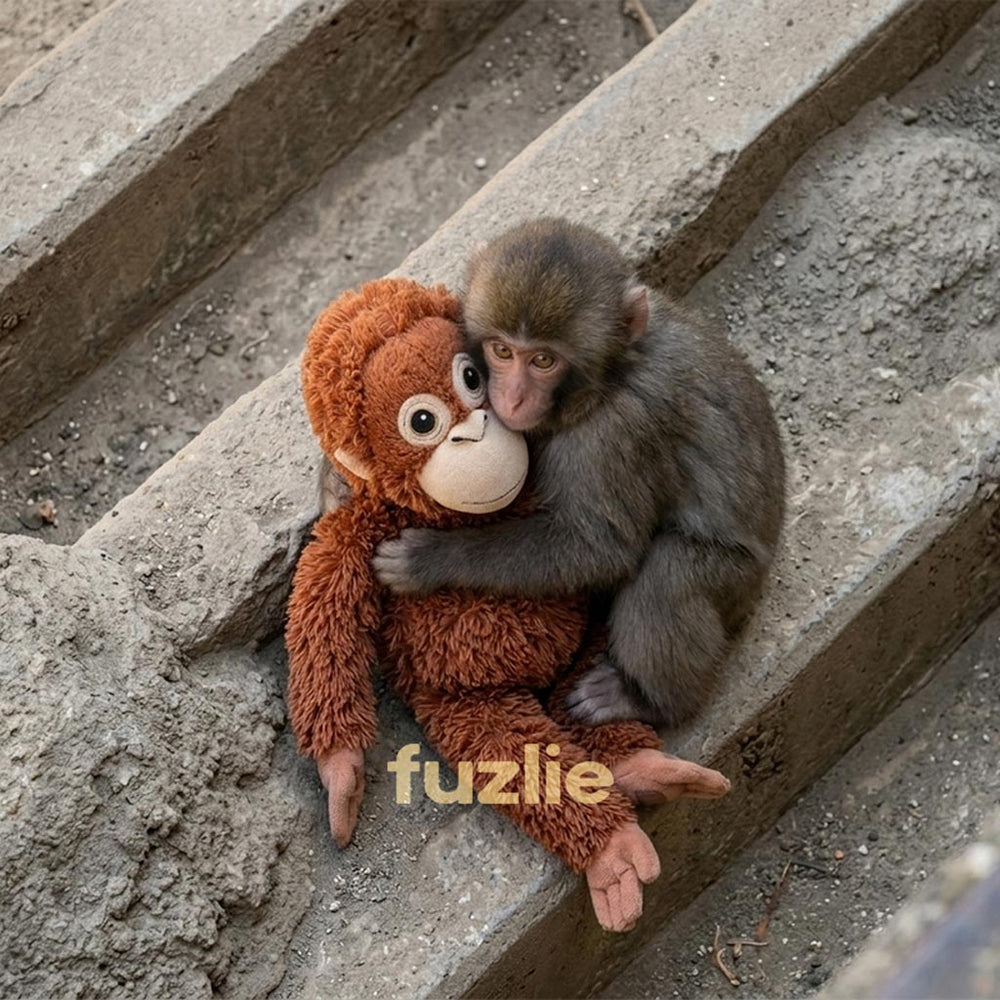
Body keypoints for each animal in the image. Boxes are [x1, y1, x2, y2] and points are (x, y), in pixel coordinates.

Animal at [373, 218, 785, 728]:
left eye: (543, 360)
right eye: (502, 350)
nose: (512, 399)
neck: (612, 376)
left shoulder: (610, 438)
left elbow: (598, 549)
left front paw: (431, 557)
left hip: (737, 580)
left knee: (667, 575)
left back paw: (646, 700)